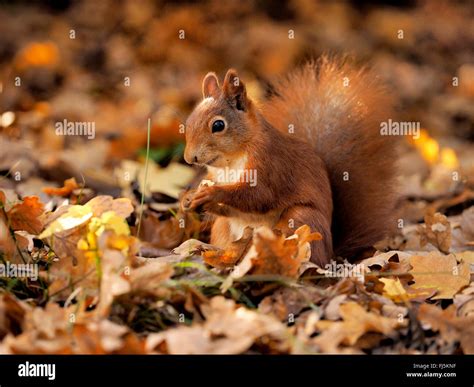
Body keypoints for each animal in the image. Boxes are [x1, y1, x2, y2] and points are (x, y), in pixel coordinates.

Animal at [183, 56, 398, 266]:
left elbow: (258, 195)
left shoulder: (270, 165)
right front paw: (189, 198)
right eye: (189, 121)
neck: (231, 160)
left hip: (301, 219)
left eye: (218, 125)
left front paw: (212, 193)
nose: (189, 157)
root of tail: (331, 254)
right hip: (222, 228)